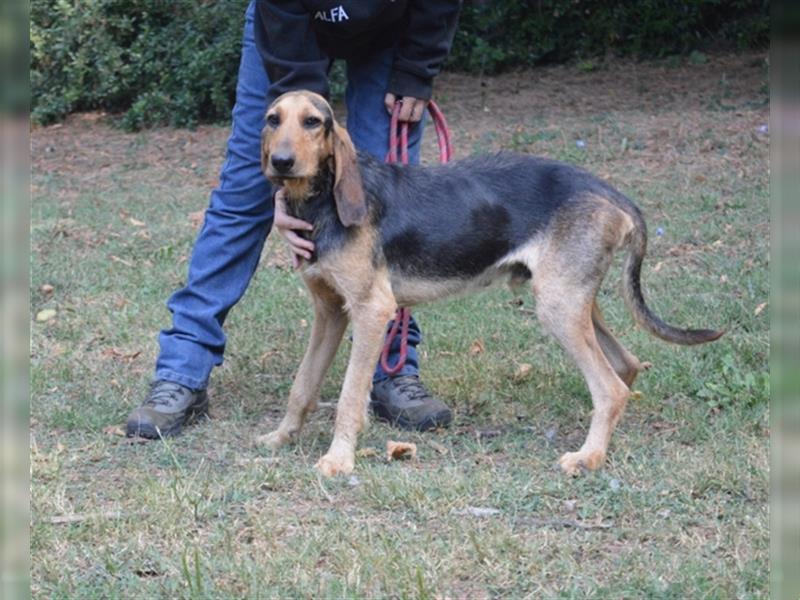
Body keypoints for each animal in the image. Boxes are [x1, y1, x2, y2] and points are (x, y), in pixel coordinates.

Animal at [256, 91, 724, 478]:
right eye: (273, 119)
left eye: (313, 121)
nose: (281, 162)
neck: (319, 202)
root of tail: (611, 192)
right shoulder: (329, 312)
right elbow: (303, 385)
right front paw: (280, 438)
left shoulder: (373, 310)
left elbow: (350, 398)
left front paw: (338, 460)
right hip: (573, 300)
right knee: (625, 367)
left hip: (558, 307)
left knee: (610, 388)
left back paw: (588, 457)